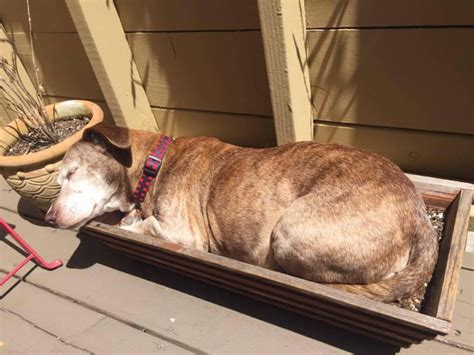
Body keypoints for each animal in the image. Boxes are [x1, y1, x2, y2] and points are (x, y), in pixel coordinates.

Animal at [46, 124, 438, 304]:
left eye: (71, 174)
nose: (48, 216)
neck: (150, 165)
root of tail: (420, 220)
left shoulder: (181, 232)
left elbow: (141, 227)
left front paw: (130, 223)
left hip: (290, 231)